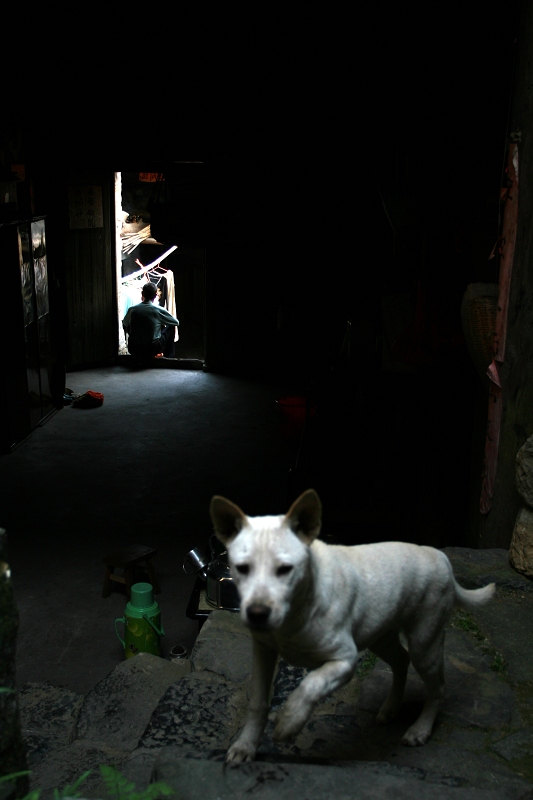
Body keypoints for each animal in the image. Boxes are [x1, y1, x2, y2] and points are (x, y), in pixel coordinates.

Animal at [209, 488, 494, 764]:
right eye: (242, 568)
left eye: (285, 569)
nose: (257, 614)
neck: (298, 607)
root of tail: (442, 557)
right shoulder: (263, 651)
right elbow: (258, 701)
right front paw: (245, 746)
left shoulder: (345, 661)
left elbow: (310, 684)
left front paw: (289, 721)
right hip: (381, 637)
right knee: (401, 661)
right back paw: (391, 707)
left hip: (425, 646)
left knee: (437, 688)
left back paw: (420, 729)